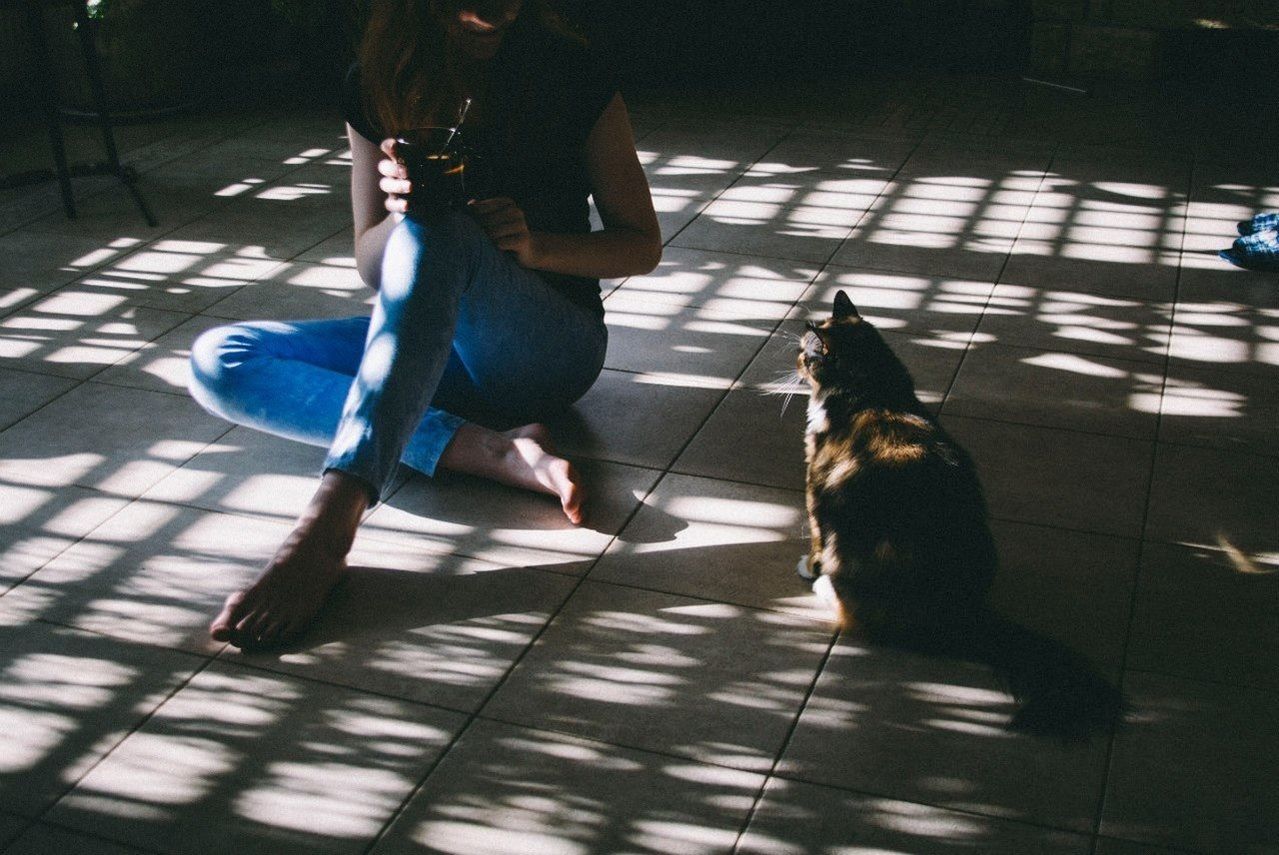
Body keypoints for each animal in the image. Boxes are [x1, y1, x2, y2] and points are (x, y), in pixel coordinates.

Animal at [792, 289, 1125, 742]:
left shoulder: (815, 486)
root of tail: (964, 612)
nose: (795, 358)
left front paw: (807, 565)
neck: (875, 391)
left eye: (807, 353)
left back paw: (824, 587)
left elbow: (814, 539)